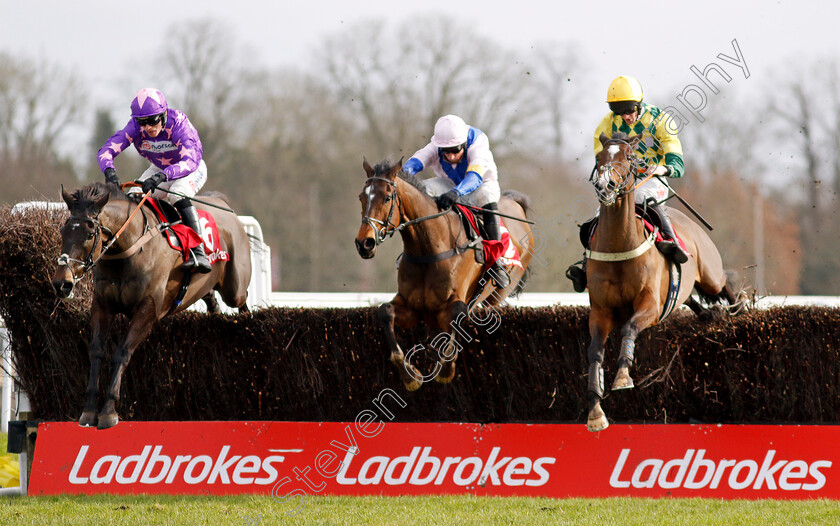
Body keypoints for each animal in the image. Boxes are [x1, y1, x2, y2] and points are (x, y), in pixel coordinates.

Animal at [50, 184, 249, 432]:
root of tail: (224, 206)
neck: (130, 248)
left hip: (235, 289)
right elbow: (96, 351)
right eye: (62, 232)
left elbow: (122, 353)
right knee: (212, 300)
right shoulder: (102, 306)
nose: (62, 283)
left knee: (242, 302)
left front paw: (108, 412)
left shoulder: (148, 310)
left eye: (89, 234)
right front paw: (89, 411)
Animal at [354, 159, 532, 390]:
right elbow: (385, 312)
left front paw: (446, 370)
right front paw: (410, 376)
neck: (429, 249)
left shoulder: (452, 305)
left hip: (497, 295)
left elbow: (457, 314)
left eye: (386, 197)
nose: (364, 243)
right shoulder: (412, 308)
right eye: (361, 197)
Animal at [584, 134, 740, 436]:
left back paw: (739, 310)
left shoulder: (651, 306)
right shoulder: (600, 311)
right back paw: (708, 314)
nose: (605, 186)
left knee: (726, 284)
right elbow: (594, 352)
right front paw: (596, 412)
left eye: (628, 158)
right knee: (692, 299)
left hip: (710, 274)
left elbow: (629, 328)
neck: (620, 246)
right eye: (599, 158)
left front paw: (623, 376)